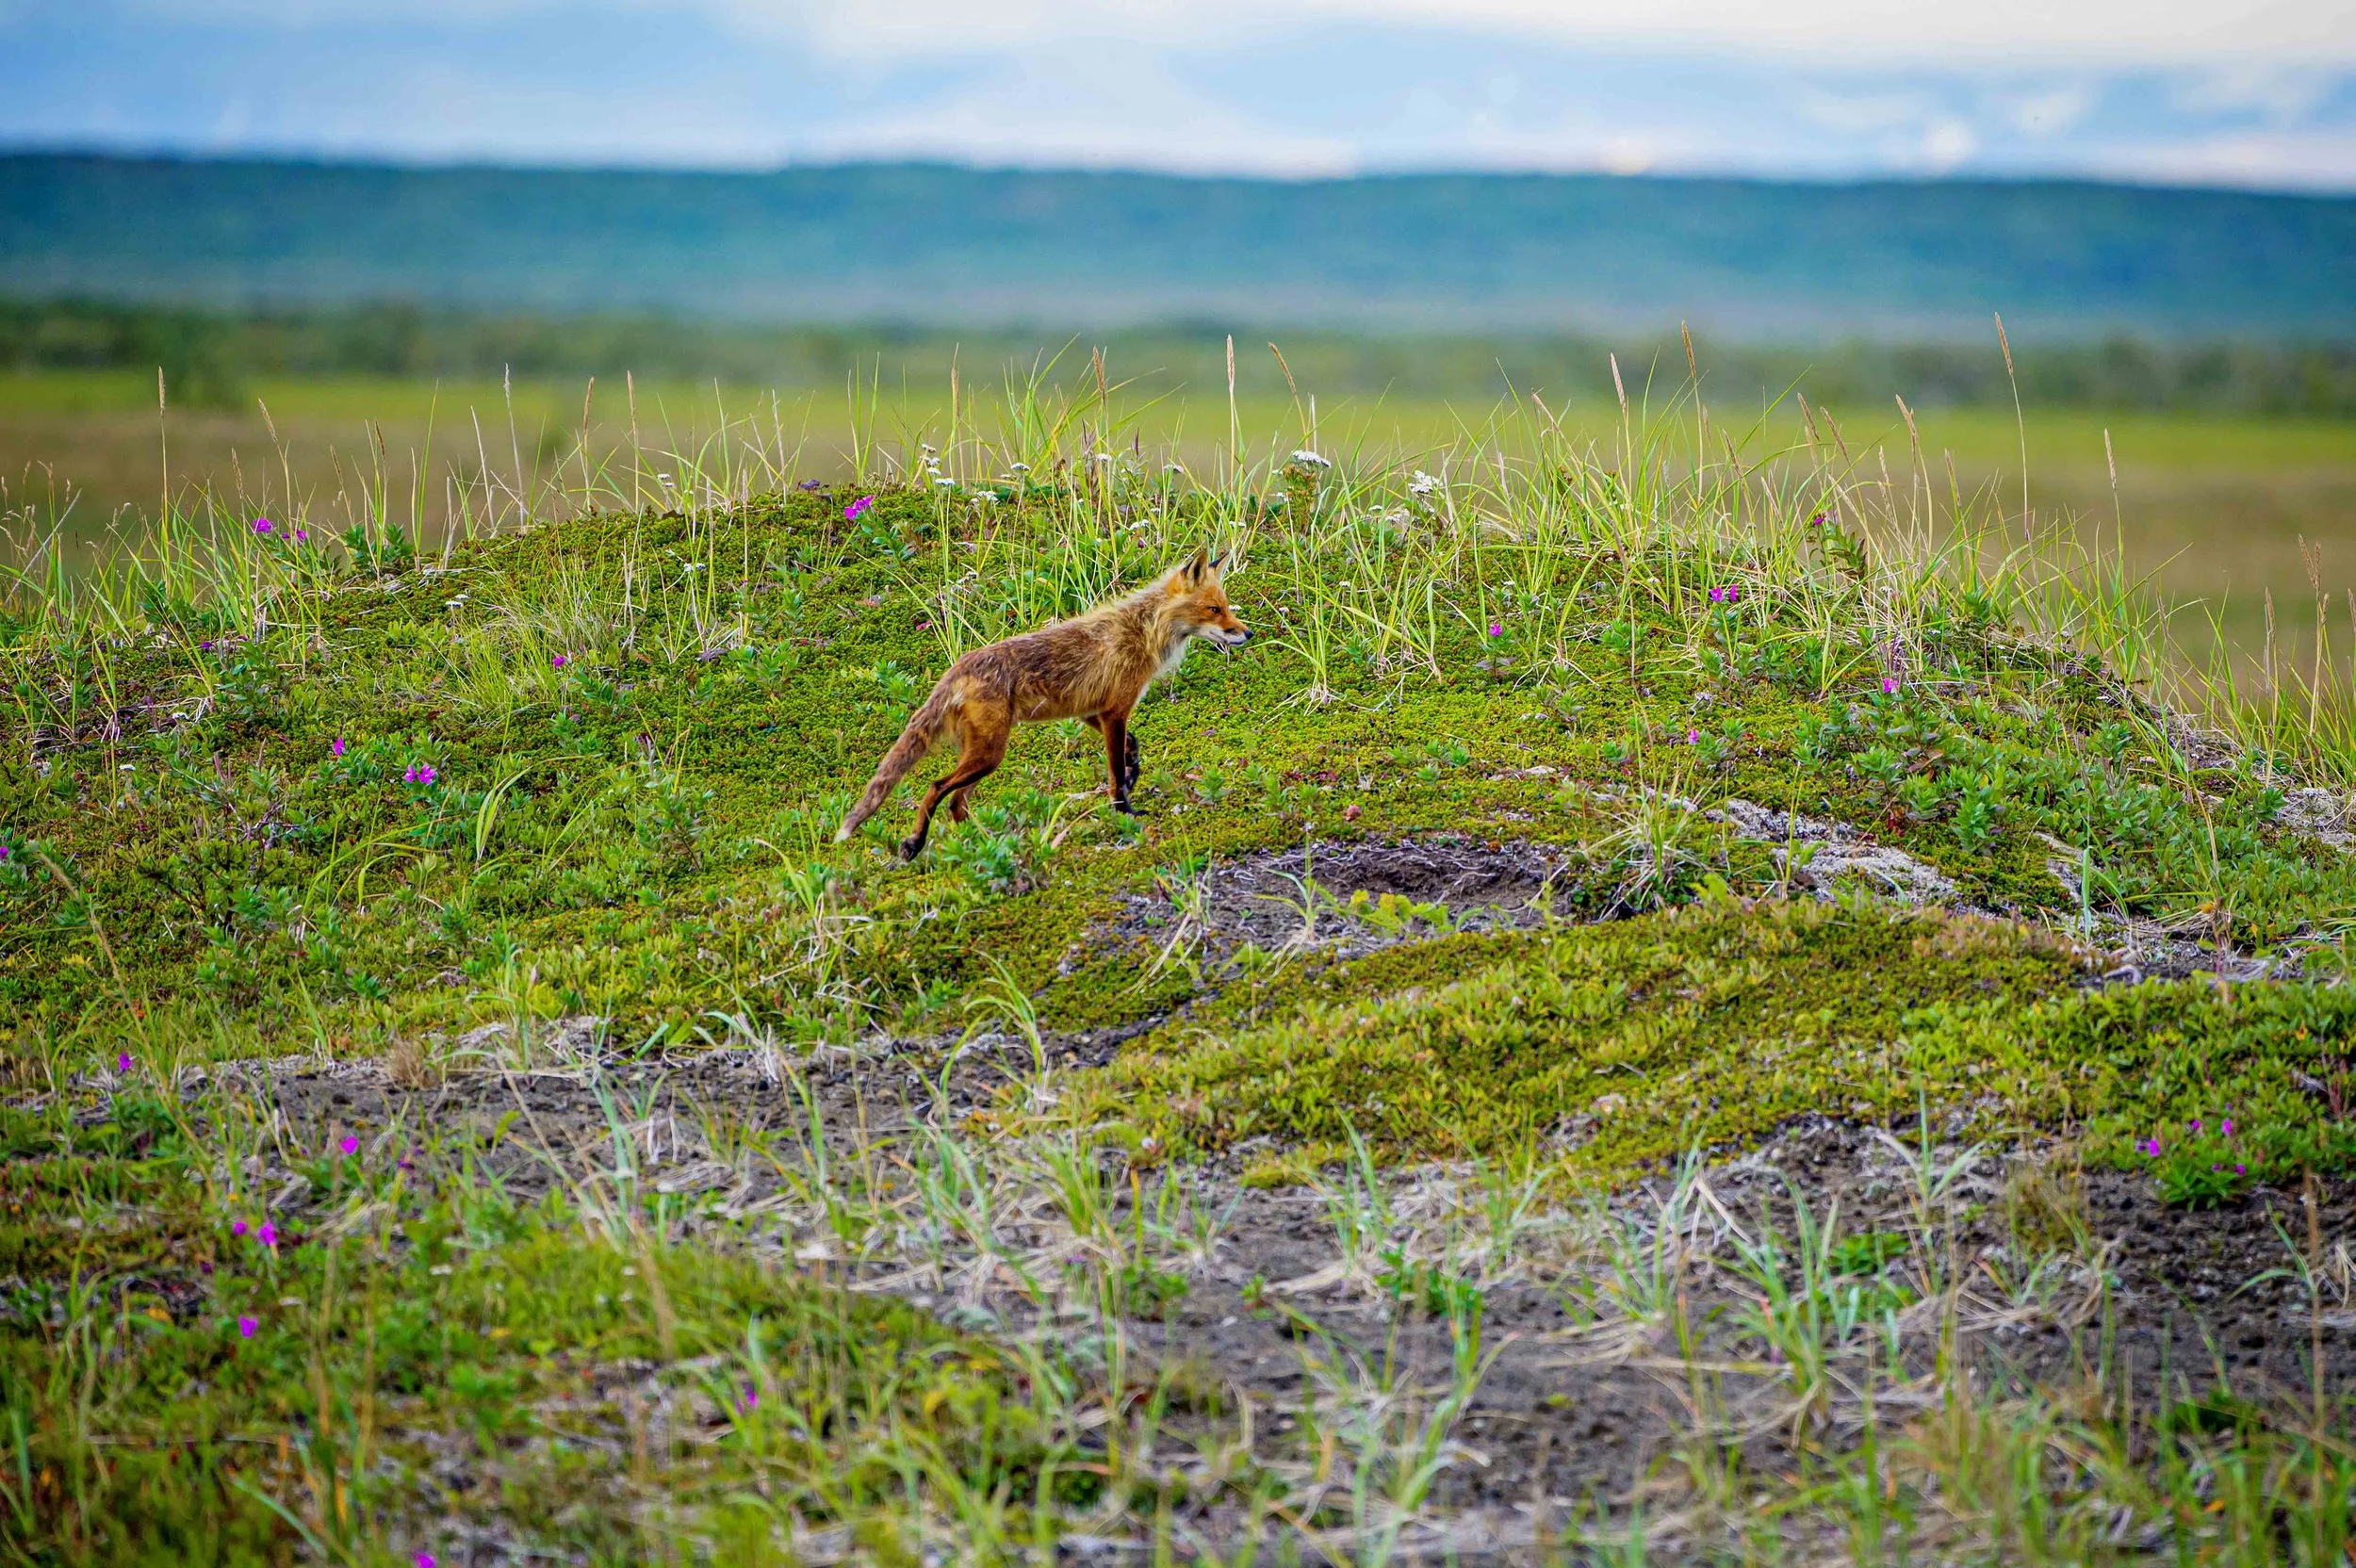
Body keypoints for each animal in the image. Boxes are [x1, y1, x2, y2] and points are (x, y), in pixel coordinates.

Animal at [835, 547, 1251, 859]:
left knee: (957, 804)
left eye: (1226, 606)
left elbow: (1132, 748)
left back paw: (985, 845)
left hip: (983, 756)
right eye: (1215, 609)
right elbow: (1115, 773)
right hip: (989, 754)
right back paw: (915, 843)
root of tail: (957, 668)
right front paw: (1125, 812)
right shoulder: (1115, 710)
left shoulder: (1092, 711)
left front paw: (1134, 772)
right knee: (938, 788)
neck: (1145, 630)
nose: (1247, 633)